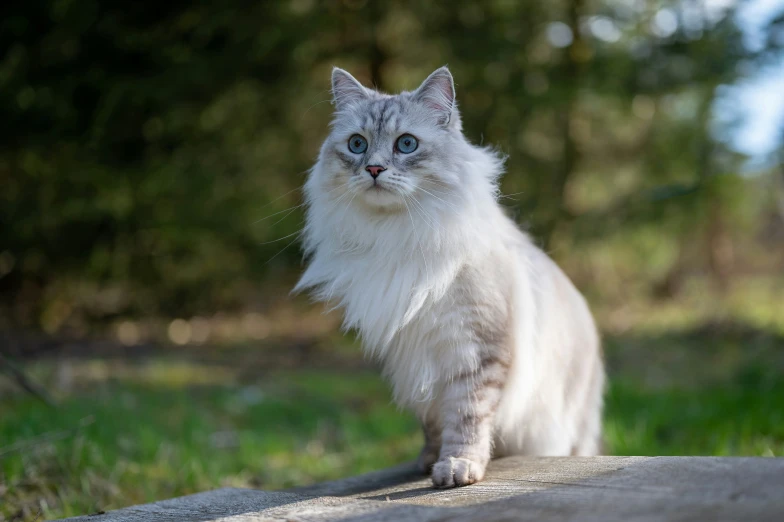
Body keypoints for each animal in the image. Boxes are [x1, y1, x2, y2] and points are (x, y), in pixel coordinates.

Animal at [294, 66, 608, 488]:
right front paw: (428, 462)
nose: (373, 169)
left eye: (407, 144)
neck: (397, 236)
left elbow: (466, 419)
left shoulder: (474, 353)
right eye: (357, 145)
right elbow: (433, 425)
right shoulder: (414, 357)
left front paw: (458, 467)